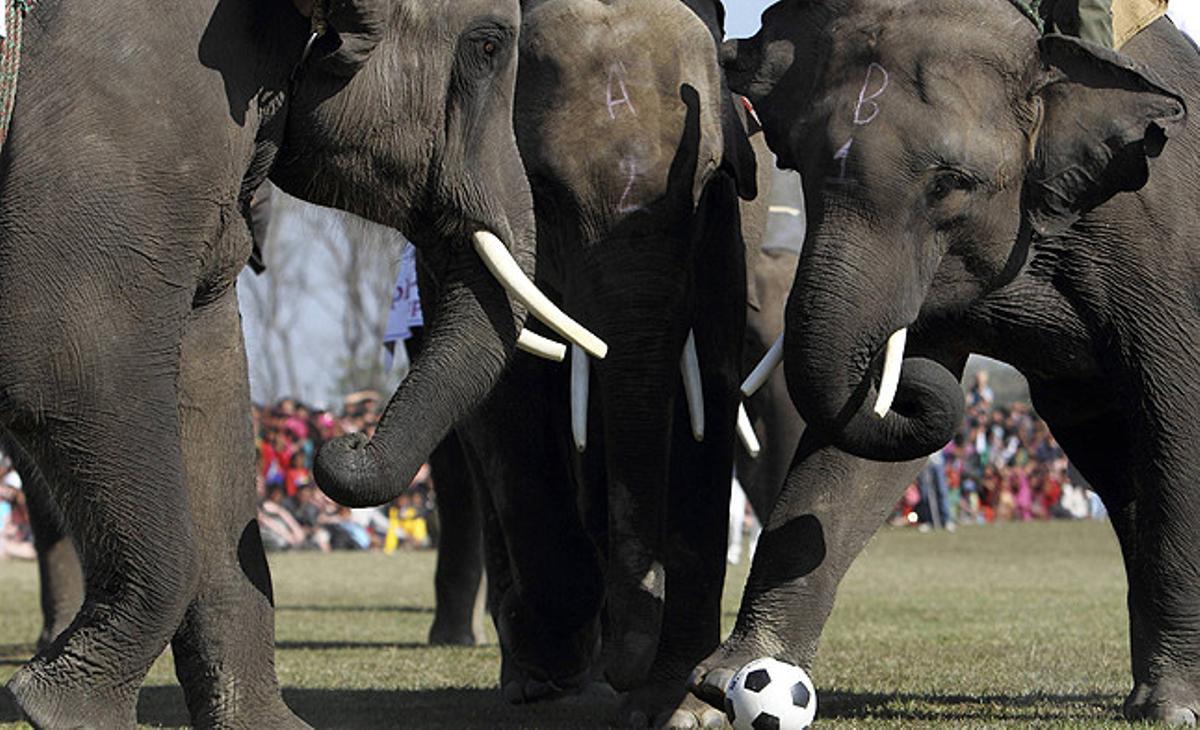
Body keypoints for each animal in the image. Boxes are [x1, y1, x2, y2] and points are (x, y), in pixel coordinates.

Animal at [0, 0, 608, 726]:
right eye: (488, 47)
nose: (341, 440)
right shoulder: (122, 97)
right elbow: (66, 361)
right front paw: (61, 710)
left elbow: (208, 386)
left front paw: (269, 725)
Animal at [688, 1, 1200, 725]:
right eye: (794, 161)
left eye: (951, 184)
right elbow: (856, 459)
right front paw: (724, 683)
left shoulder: (1163, 242)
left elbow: (1177, 416)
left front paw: (1175, 707)